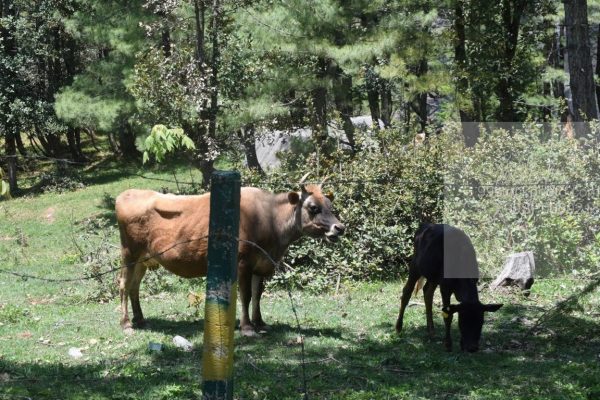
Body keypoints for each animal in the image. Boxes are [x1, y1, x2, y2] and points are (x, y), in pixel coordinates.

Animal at [114, 178, 344, 334]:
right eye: (313, 207)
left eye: (330, 206)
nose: (339, 227)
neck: (269, 219)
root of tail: (126, 194)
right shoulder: (243, 263)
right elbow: (246, 295)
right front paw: (247, 327)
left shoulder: (261, 265)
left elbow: (258, 294)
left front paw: (260, 322)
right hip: (129, 252)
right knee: (124, 285)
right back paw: (126, 323)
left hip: (143, 258)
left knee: (134, 286)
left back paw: (141, 319)